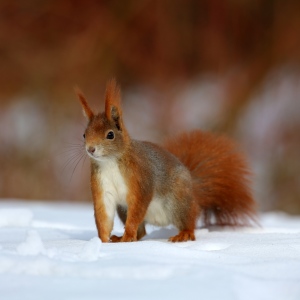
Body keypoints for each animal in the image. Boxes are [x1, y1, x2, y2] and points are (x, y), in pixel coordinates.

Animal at [76, 79, 256, 241]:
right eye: (84, 135)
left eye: (110, 135)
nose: (90, 149)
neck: (110, 162)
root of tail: (193, 192)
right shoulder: (102, 187)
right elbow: (103, 216)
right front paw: (103, 241)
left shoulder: (142, 181)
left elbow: (136, 211)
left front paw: (126, 236)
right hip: (123, 209)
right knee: (142, 232)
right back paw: (121, 238)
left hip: (177, 201)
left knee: (189, 222)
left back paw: (183, 234)